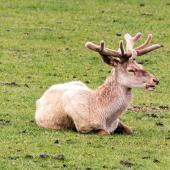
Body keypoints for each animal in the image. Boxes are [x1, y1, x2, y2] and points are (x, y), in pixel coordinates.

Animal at [34, 32, 162, 135]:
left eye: (141, 65)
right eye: (131, 70)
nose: (155, 80)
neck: (104, 115)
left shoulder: (117, 123)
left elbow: (130, 130)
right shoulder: (83, 127)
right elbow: (105, 133)